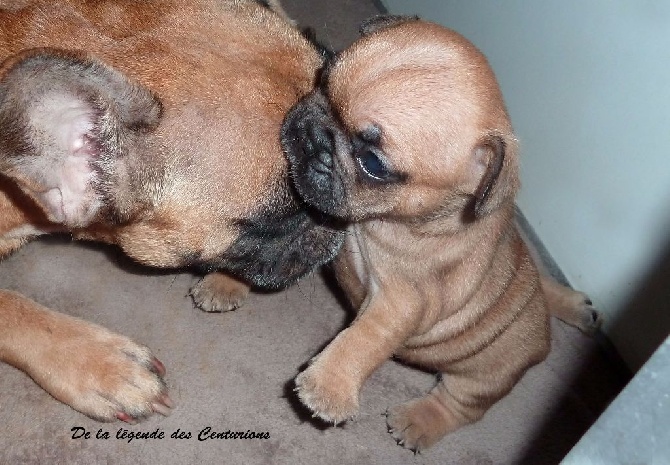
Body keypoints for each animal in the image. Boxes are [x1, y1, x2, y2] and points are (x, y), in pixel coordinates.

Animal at [280, 15, 600, 454]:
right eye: (322, 78)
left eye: (372, 163)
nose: (311, 133)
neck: (389, 221)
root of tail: (544, 338)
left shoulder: (405, 301)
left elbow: (369, 335)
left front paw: (330, 385)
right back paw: (573, 303)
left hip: (482, 379)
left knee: (460, 406)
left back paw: (417, 422)